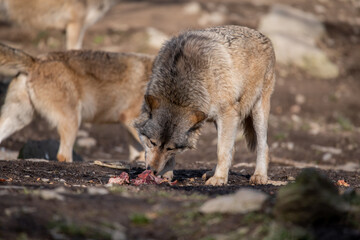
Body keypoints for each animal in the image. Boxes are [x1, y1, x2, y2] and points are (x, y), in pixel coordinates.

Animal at [135, 24, 276, 186]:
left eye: (170, 148)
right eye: (152, 142)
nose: (152, 171)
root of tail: (263, 36)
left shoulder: (228, 114)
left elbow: (221, 150)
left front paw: (219, 178)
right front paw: (166, 174)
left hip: (257, 111)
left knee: (263, 146)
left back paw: (259, 175)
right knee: (233, 148)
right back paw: (212, 172)